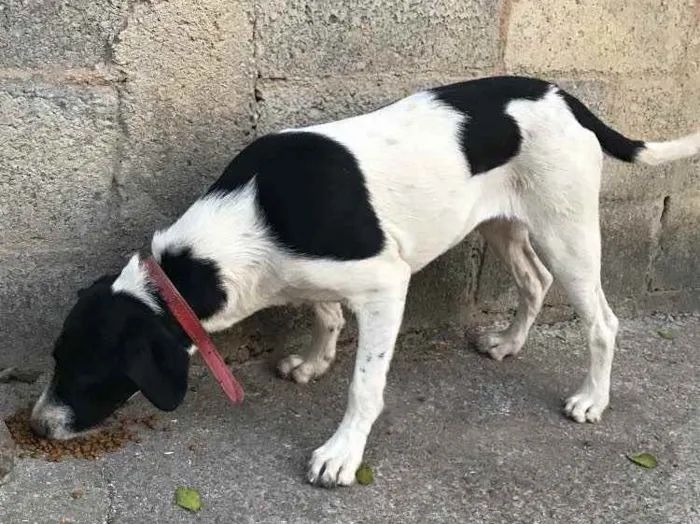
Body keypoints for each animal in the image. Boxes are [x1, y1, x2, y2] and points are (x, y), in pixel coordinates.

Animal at [31, 74, 700, 488]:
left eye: (87, 368)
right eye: (55, 356)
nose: (39, 425)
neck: (247, 220)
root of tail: (563, 95)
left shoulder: (385, 284)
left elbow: (364, 386)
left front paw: (342, 454)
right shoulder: (312, 279)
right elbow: (323, 312)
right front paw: (313, 360)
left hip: (568, 233)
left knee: (602, 321)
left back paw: (592, 399)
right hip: (503, 226)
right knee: (533, 282)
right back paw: (509, 344)